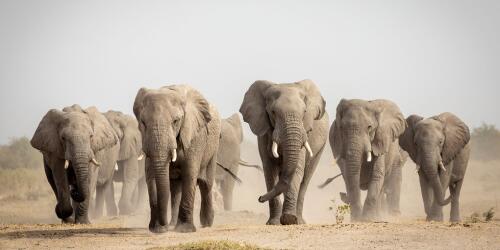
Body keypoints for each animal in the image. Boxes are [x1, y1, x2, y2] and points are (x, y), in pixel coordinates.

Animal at [133, 85, 221, 233]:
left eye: (175, 121)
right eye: (143, 123)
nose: (163, 225)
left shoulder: (194, 134)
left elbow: (190, 173)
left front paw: (185, 230)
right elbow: (151, 176)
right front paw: (157, 229)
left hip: (213, 147)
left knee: (206, 183)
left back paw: (206, 223)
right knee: (175, 189)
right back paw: (172, 225)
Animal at [238, 78, 328, 225]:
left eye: (304, 112)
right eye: (273, 112)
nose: (260, 198)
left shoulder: (303, 134)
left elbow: (296, 170)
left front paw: (289, 219)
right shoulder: (264, 133)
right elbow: (269, 170)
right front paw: (274, 222)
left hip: (320, 148)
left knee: (305, 179)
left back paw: (299, 220)